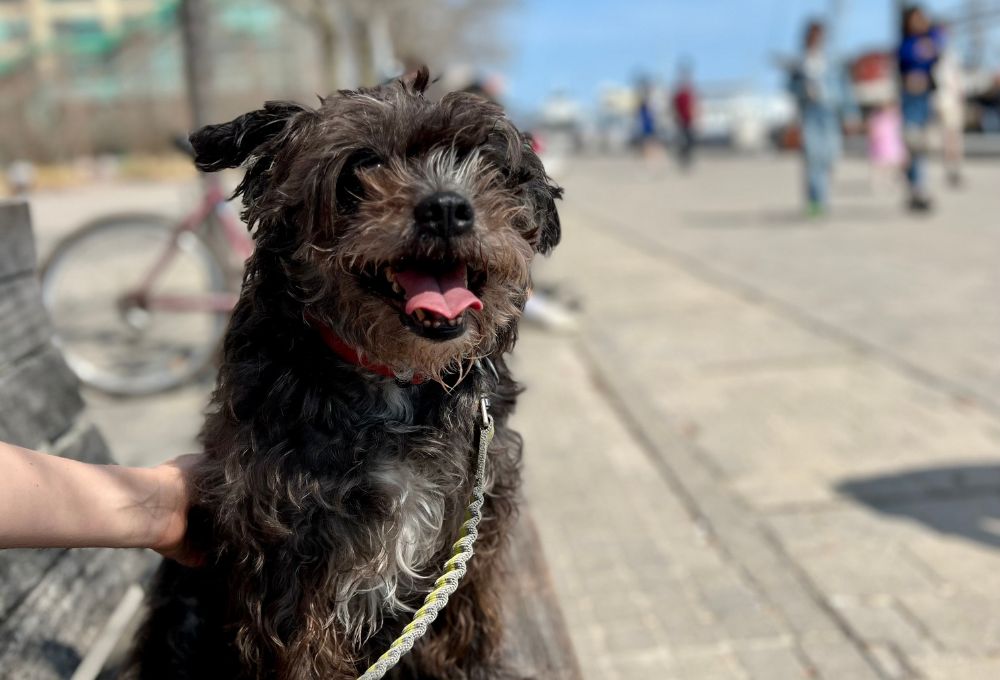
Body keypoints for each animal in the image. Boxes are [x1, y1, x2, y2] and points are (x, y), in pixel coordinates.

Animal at [121, 66, 560, 676]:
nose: (448, 208)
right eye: (362, 166)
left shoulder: (474, 531)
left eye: (485, 162)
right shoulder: (289, 563)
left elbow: (463, 632)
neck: (395, 379)